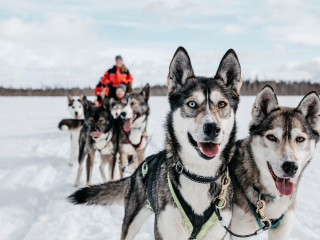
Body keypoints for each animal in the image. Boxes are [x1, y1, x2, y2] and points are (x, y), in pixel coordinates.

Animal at [68, 46, 242, 239]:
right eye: (192, 104)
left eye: (222, 104)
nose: (212, 128)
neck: (199, 176)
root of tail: (139, 168)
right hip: (131, 222)